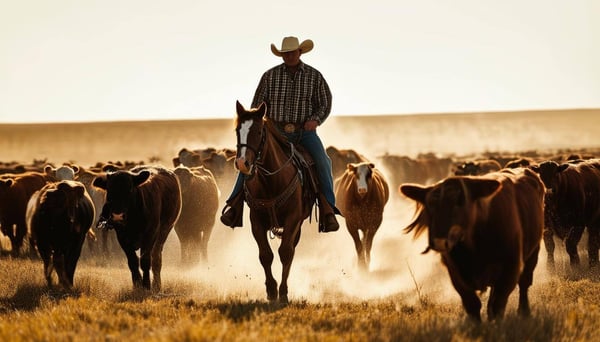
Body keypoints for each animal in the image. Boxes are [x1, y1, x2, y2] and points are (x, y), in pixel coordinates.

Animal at [233, 100, 318, 304]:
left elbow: (285, 253)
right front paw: (271, 290)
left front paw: (283, 292)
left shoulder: (293, 220)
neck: (270, 180)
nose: (242, 163)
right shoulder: (256, 221)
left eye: (258, 131)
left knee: (291, 250)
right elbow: (265, 255)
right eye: (238, 130)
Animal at [400, 168, 548, 320]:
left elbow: (498, 304)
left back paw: (524, 311)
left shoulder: (510, 268)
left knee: (524, 283)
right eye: (430, 206)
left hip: (533, 253)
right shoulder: (456, 274)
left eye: (460, 202)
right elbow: (472, 304)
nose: (439, 241)